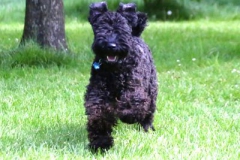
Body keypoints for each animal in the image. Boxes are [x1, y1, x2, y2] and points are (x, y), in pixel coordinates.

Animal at [84, 1, 158, 151]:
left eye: (122, 27)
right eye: (101, 26)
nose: (111, 45)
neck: (115, 69)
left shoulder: (134, 90)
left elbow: (133, 106)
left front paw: (125, 115)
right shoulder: (97, 93)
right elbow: (98, 115)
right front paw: (101, 142)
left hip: (152, 89)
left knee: (149, 111)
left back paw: (146, 127)